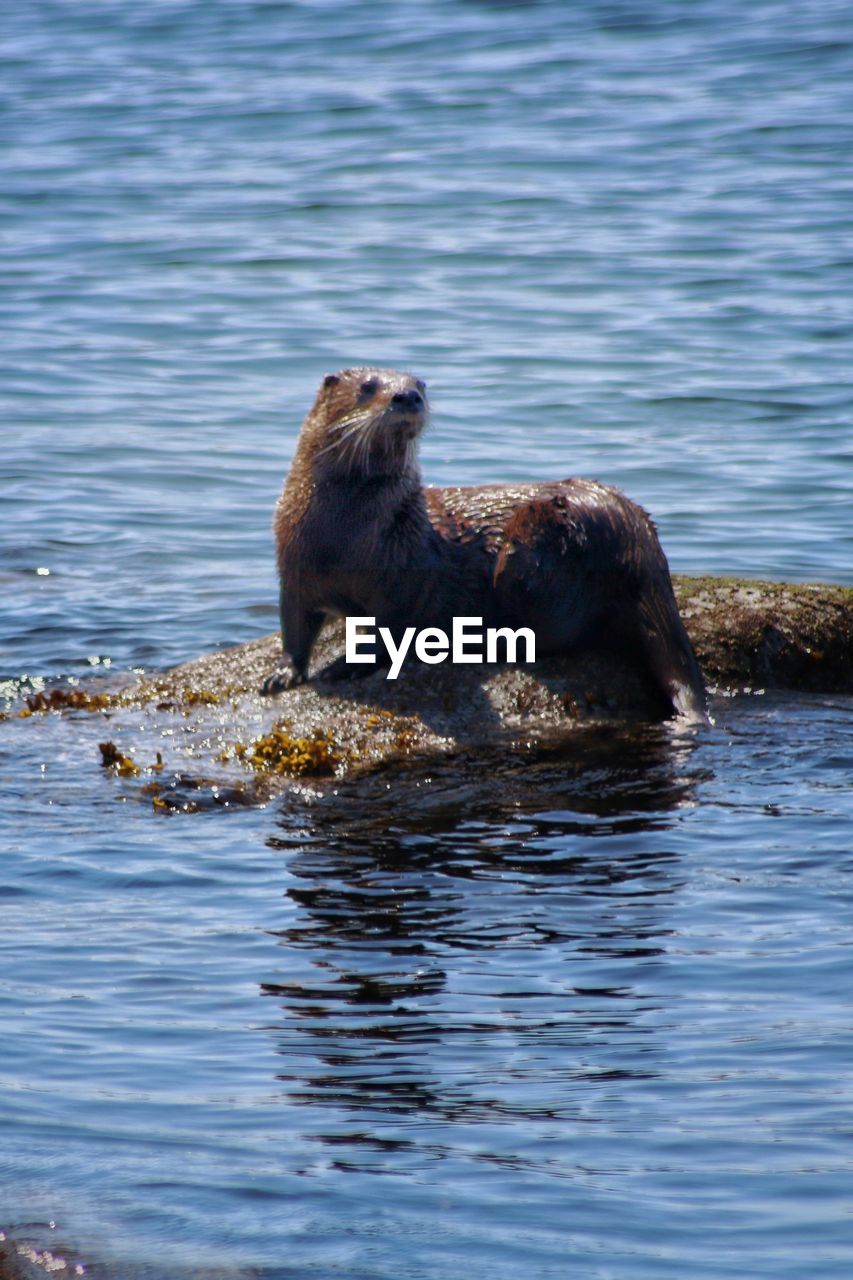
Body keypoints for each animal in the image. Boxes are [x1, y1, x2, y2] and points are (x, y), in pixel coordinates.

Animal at [262, 371, 706, 727]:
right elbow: (294, 625)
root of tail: (640, 536)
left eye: (420, 383)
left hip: (549, 549)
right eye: (368, 387)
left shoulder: (403, 578)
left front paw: (348, 664)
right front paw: (283, 674)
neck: (341, 539)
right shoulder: (293, 569)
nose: (408, 396)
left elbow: (391, 631)